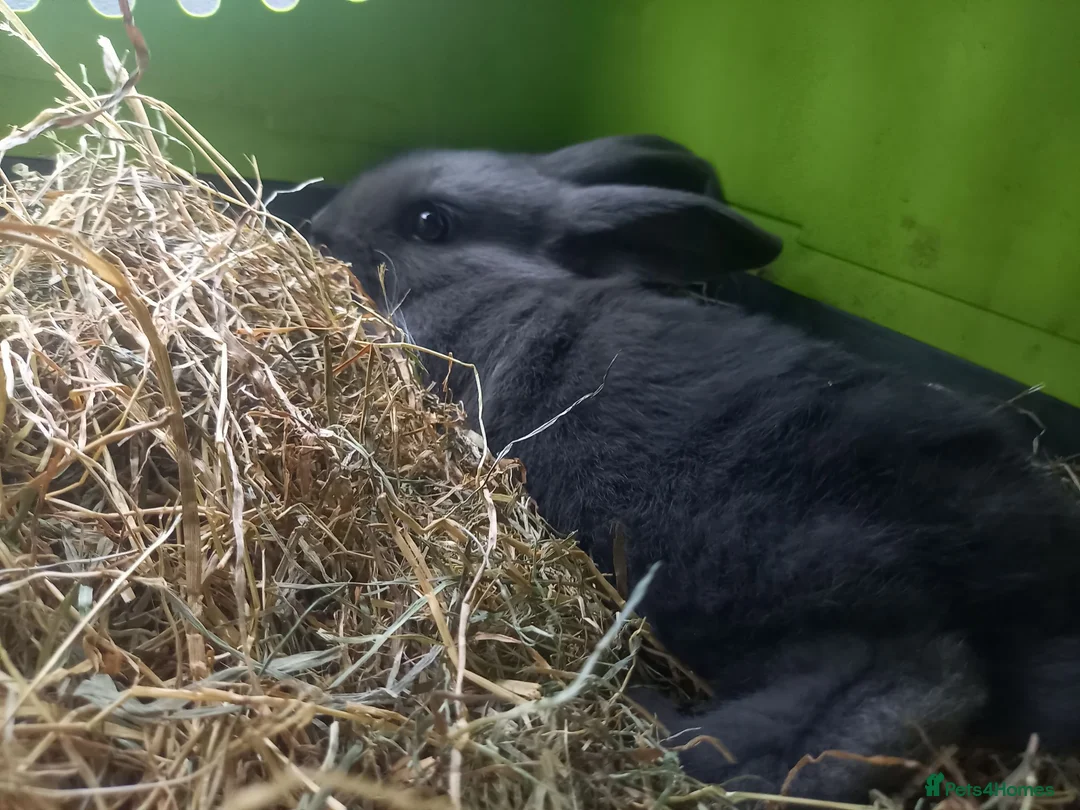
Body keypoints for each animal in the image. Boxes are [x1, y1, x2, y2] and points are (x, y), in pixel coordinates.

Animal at [309, 135, 1080, 802]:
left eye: (430, 222)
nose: (317, 228)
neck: (493, 280)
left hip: (810, 578)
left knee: (892, 698)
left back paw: (656, 721)